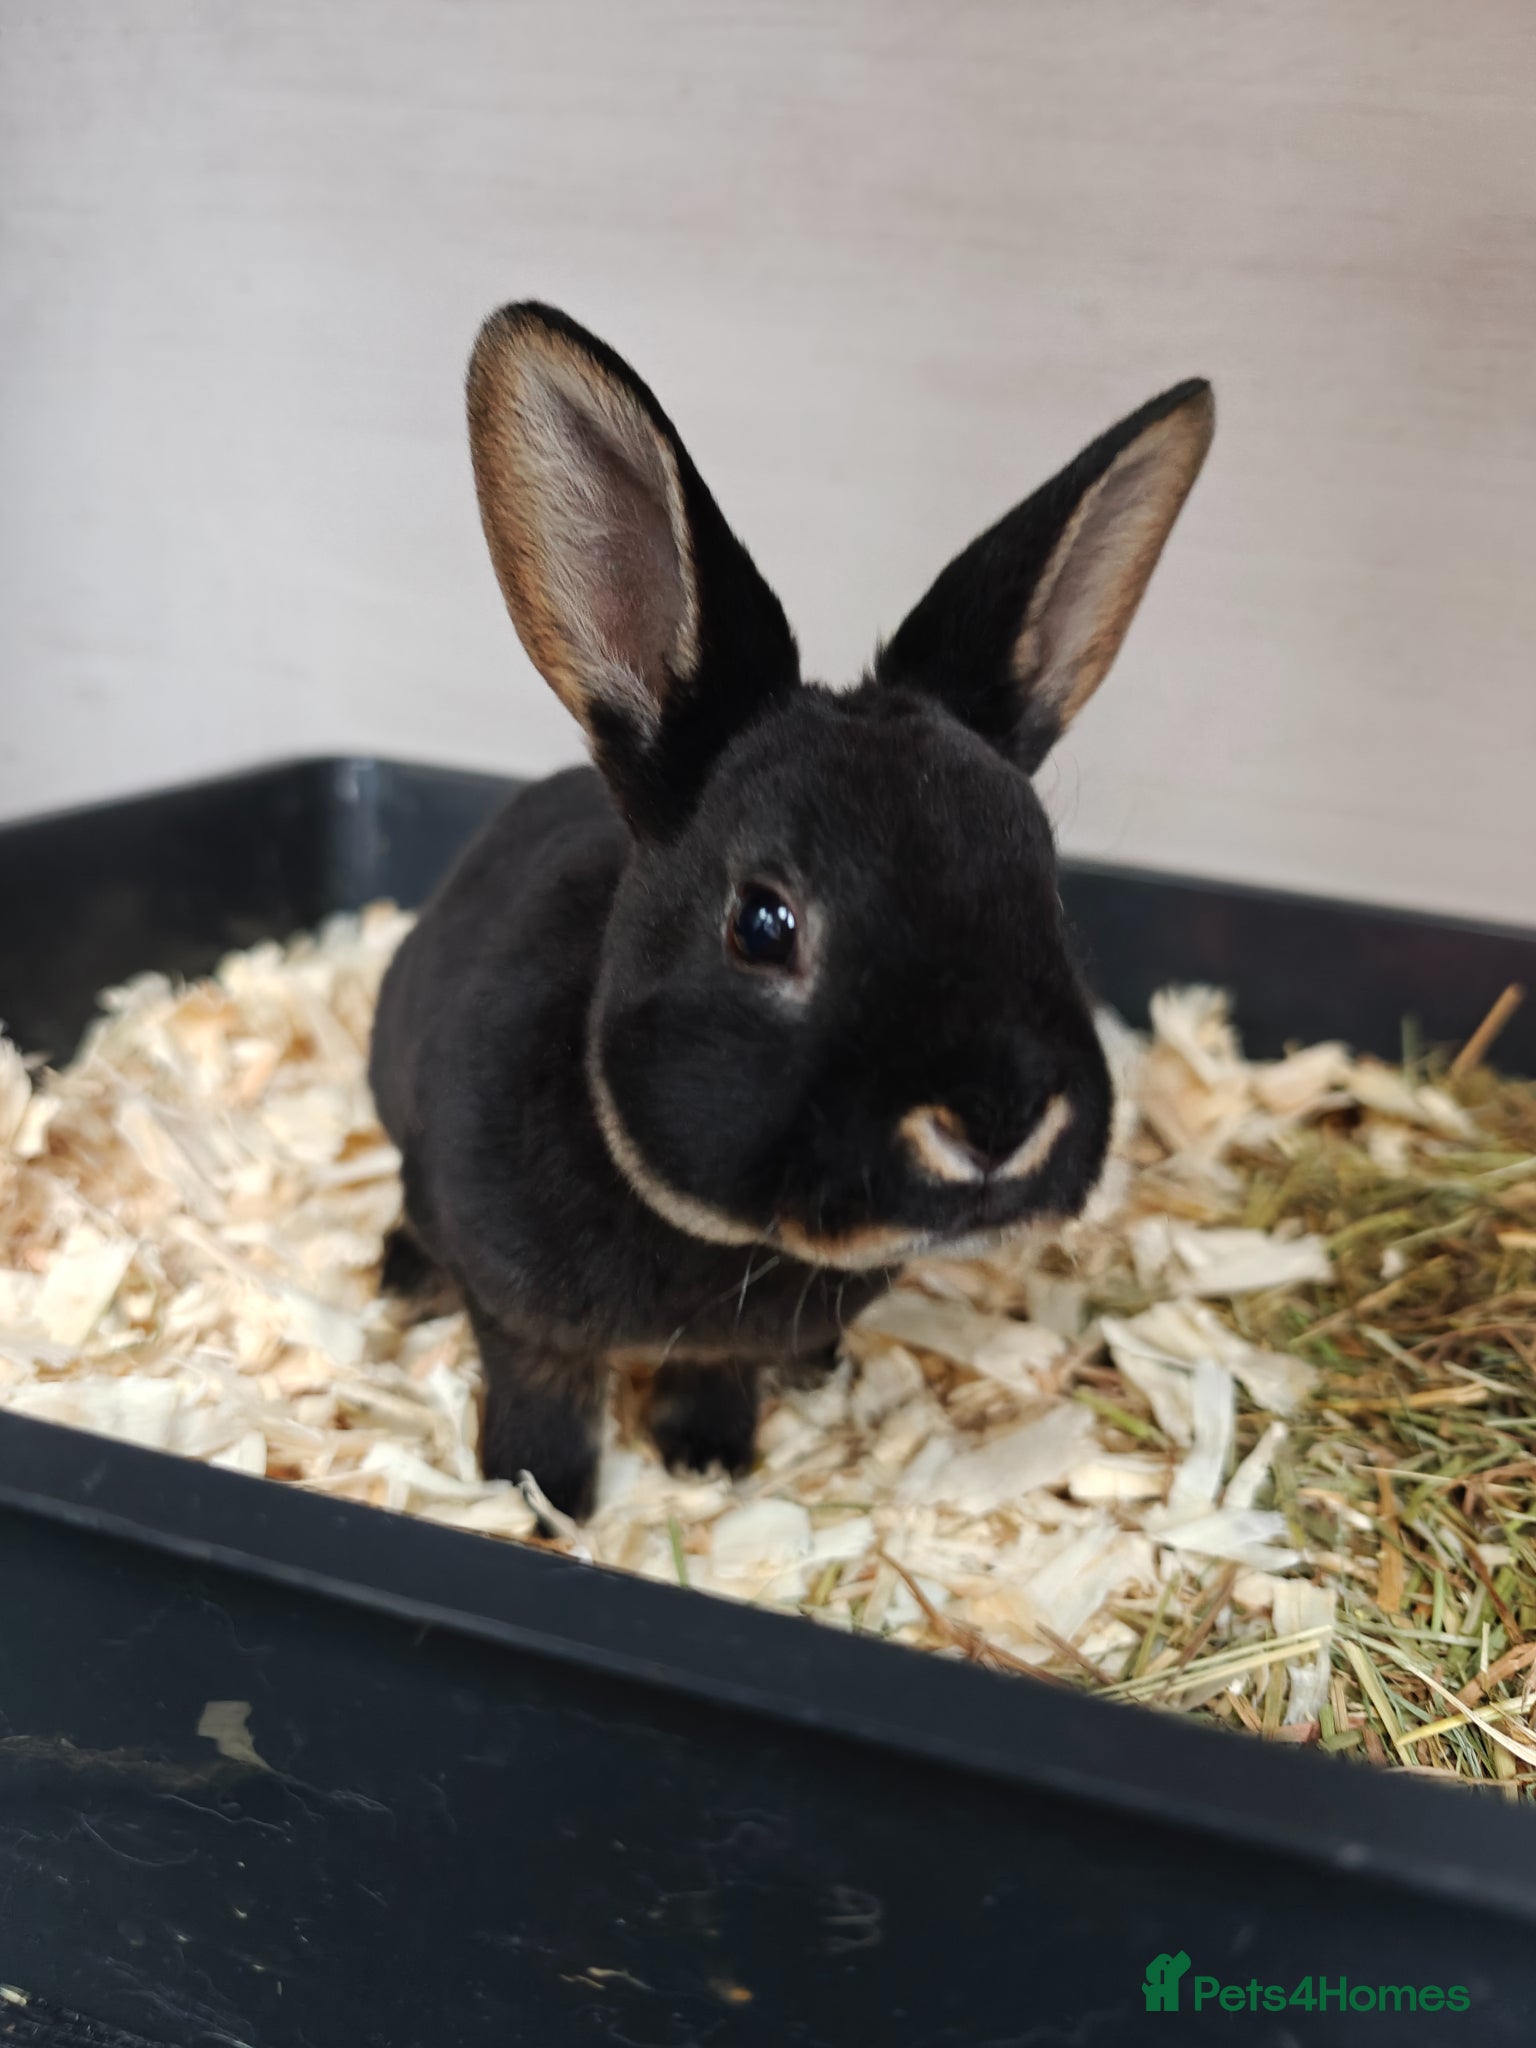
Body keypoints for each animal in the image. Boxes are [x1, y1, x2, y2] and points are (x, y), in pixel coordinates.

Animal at [369, 301, 1213, 1521]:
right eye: (763, 923)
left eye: (1046, 888)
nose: (998, 1119)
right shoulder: (519, 1314)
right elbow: (541, 1387)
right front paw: (540, 1496)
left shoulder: (730, 1346)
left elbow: (717, 1376)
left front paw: (710, 1459)